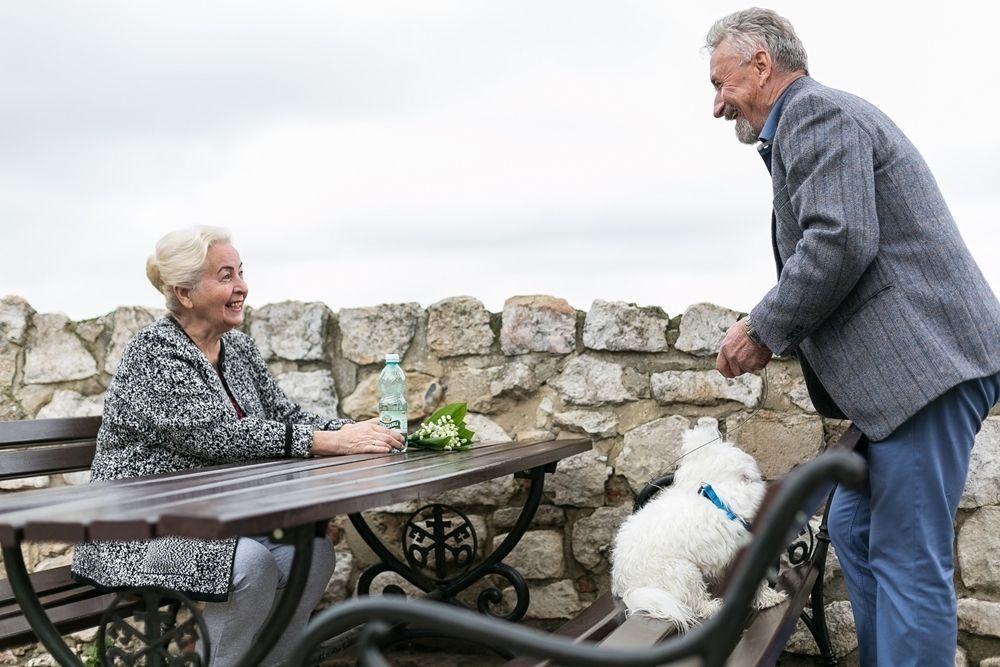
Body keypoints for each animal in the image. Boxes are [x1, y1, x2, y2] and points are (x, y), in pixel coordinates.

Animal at [608, 420, 780, 628]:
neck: (722, 497)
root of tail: (625, 584)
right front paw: (769, 598)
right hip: (682, 571)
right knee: (696, 602)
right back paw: (713, 607)